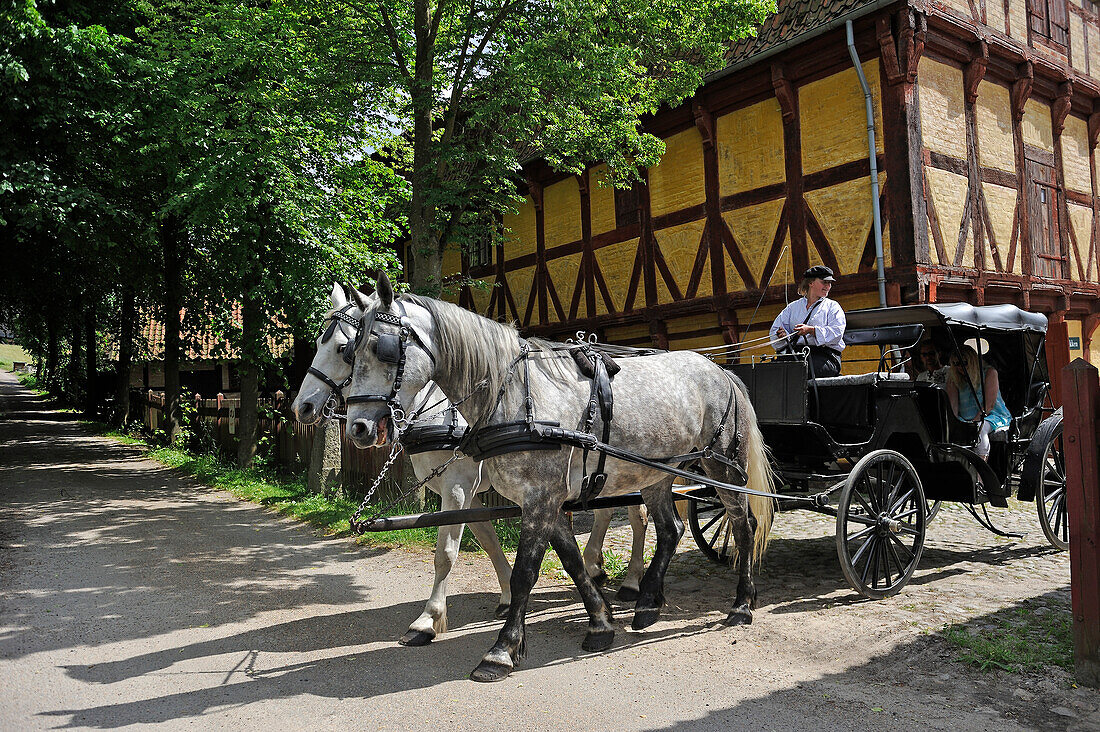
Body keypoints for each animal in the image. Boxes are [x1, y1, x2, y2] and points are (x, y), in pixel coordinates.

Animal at [294, 281, 651, 642]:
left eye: (345, 350)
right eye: (325, 345)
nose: (302, 407)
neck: (444, 407)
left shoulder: (458, 487)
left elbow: (445, 553)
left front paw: (428, 619)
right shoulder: (468, 492)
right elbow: (489, 540)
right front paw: (508, 596)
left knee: (637, 516)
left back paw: (633, 583)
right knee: (610, 511)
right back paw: (599, 568)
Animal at [347, 272, 778, 678]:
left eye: (381, 348)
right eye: (350, 351)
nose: (358, 428)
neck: (515, 395)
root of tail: (721, 371)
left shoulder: (539, 498)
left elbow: (525, 573)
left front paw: (501, 650)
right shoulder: (544, 500)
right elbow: (571, 561)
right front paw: (601, 624)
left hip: (722, 467)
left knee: (744, 527)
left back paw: (741, 605)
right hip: (656, 475)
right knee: (671, 529)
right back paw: (646, 605)